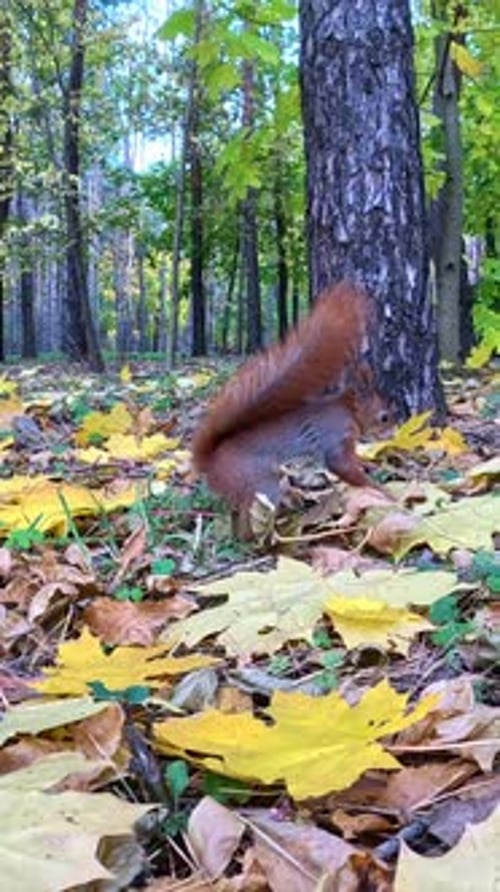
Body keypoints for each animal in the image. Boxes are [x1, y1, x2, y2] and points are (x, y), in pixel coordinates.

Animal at [192, 282, 388, 536]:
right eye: (384, 417)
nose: (394, 428)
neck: (348, 408)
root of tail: (210, 463)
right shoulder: (335, 436)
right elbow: (341, 466)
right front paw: (380, 489)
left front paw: (367, 465)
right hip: (261, 482)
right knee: (249, 516)